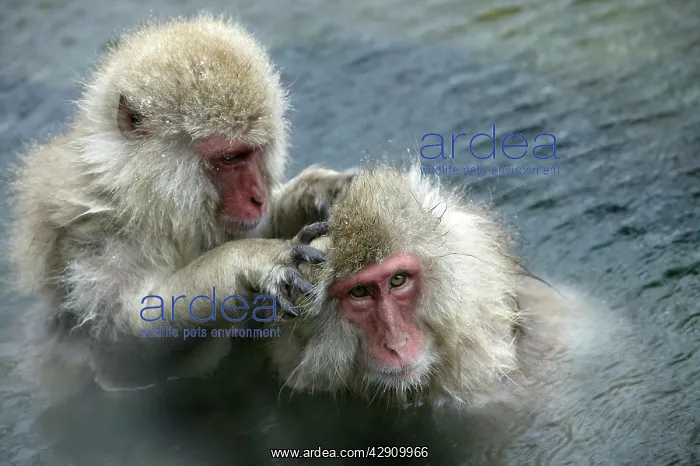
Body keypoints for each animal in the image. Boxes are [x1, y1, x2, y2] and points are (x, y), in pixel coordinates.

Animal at [9, 15, 350, 398]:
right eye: (230, 159)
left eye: (255, 151)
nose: (259, 197)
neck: (141, 202)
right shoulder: (94, 238)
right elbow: (122, 348)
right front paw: (248, 260)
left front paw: (316, 194)